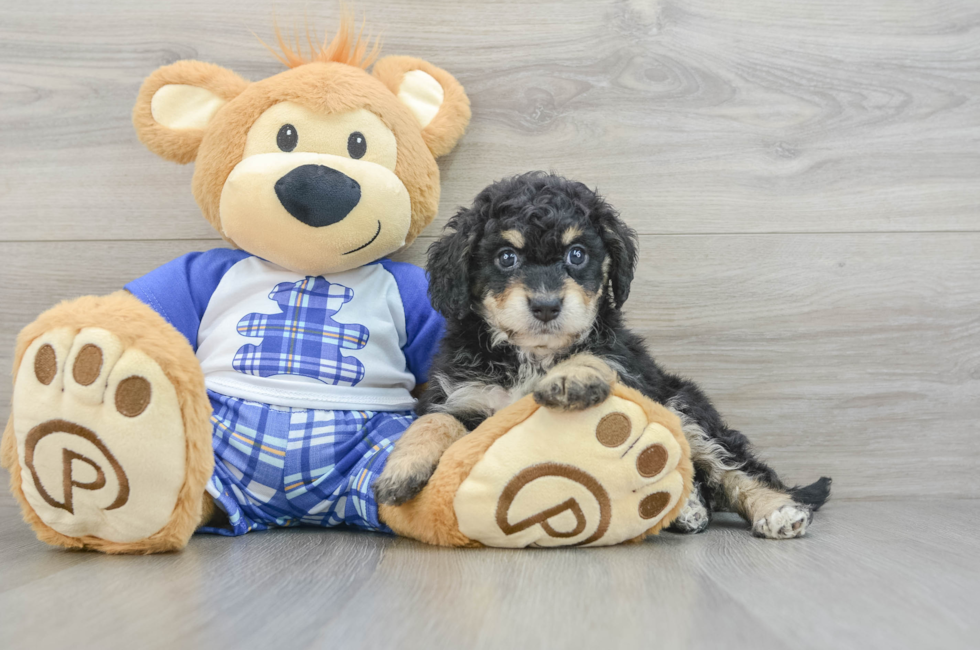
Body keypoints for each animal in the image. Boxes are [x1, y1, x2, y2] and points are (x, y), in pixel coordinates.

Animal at [372, 171, 832, 536]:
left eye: (577, 254)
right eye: (506, 257)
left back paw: (775, 509)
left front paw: (568, 376)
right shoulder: (462, 396)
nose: (546, 306)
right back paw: (688, 510)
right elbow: (434, 421)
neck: (532, 357)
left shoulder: (623, 364)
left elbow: (592, 353)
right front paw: (401, 469)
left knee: (731, 465)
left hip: (681, 403)